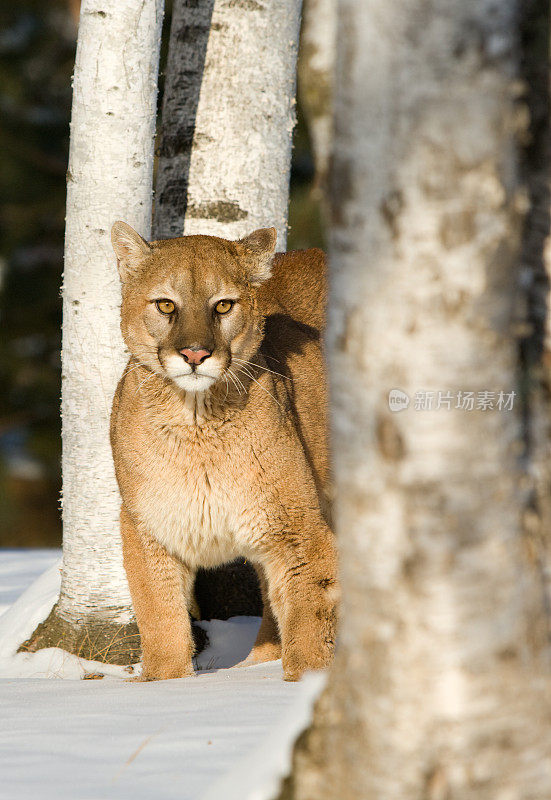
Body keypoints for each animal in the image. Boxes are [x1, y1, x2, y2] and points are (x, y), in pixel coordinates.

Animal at [110, 220, 338, 680]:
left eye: (223, 306)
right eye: (165, 305)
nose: (195, 354)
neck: (196, 424)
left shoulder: (299, 530)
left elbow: (309, 619)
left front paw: (306, 682)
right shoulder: (147, 529)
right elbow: (160, 619)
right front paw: (165, 682)